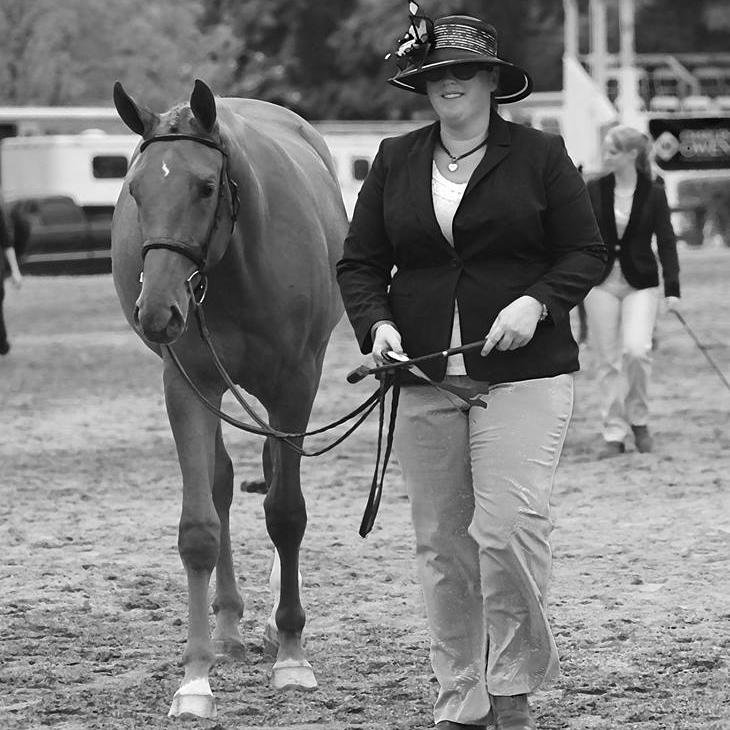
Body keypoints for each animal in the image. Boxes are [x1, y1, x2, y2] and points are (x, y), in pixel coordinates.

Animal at [110, 79, 347, 718]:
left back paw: (269, 627)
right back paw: (229, 628)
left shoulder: (296, 385)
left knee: (275, 478)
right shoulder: (188, 386)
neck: (237, 264)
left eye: (205, 186)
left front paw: (292, 654)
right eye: (136, 190)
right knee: (220, 486)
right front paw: (195, 679)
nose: (157, 310)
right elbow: (200, 526)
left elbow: (287, 513)